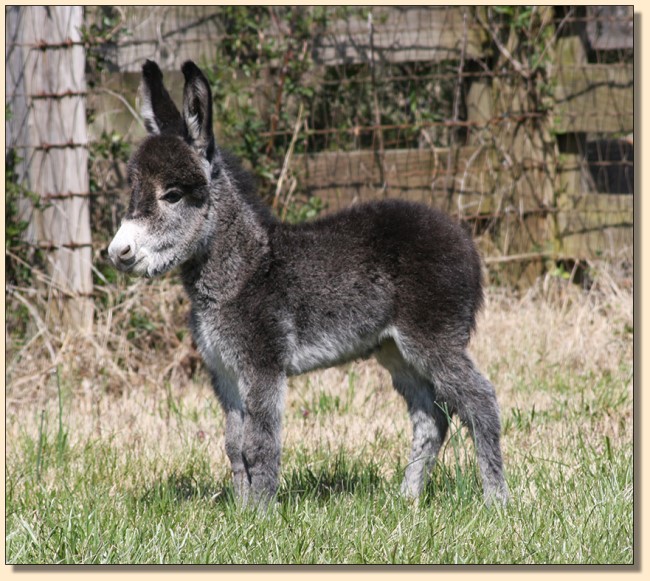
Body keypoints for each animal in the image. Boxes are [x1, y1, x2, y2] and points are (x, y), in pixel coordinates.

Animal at [109, 61, 508, 506]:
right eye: (135, 190)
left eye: (173, 195)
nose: (117, 252)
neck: (244, 271)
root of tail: (466, 243)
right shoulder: (224, 371)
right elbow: (233, 446)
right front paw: (241, 510)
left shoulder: (263, 363)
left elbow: (259, 445)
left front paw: (261, 515)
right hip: (395, 350)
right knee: (431, 419)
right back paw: (406, 500)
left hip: (433, 338)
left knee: (480, 402)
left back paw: (495, 501)